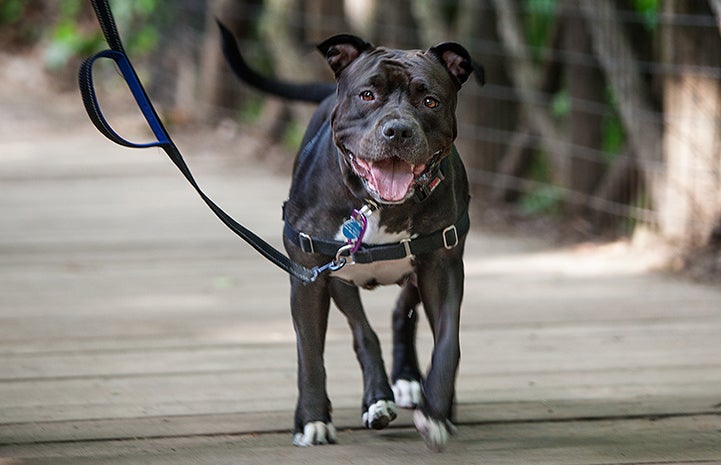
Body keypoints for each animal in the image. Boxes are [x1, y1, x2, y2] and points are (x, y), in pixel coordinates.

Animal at [217, 25, 480, 450]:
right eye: (367, 95)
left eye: (430, 100)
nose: (398, 130)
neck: (376, 205)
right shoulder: (309, 277)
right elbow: (311, 352)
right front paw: (312, 419)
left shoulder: (442, 266)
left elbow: (447, 343)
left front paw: (436, 410)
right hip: (338, 278)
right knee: (362, 331)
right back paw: (377, 398)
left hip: (415, 272)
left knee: (400, 313)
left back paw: (409, 381)